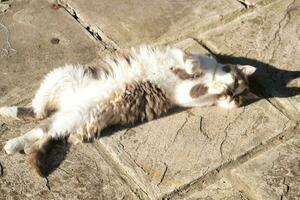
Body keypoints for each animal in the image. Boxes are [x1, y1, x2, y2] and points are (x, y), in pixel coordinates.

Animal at [1, 45, 256, 177]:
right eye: (236, 82)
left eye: (237, 98)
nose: (229, 94)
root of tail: (68, 105)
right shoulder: (184, 59)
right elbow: (189, 59)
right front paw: (195, 68)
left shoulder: (186, 94)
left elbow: (197, 88)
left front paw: (214, 87)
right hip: (61, 76)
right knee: (38, 111)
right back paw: (9, 113)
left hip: (73, 117)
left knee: (43, 131)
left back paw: (17, 144)